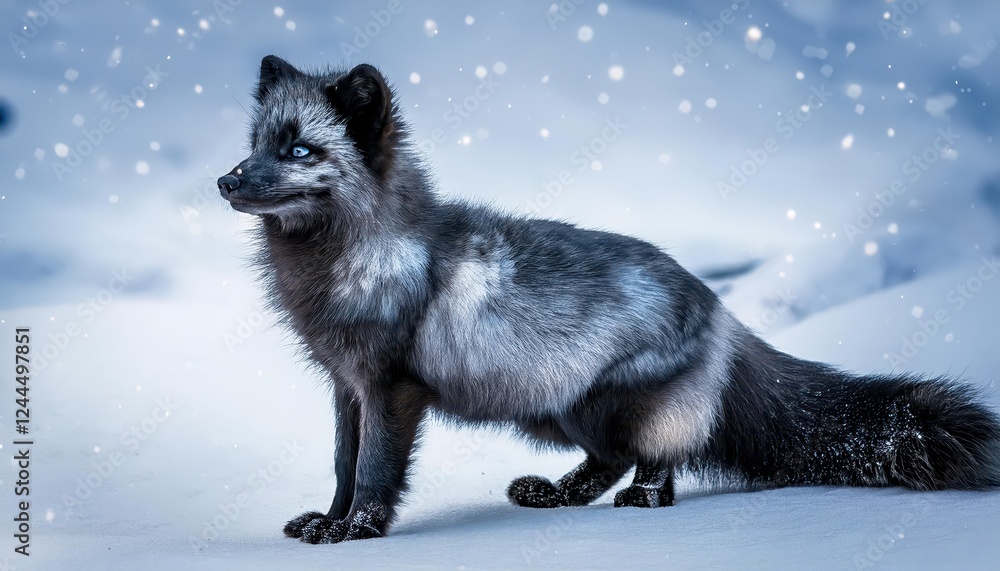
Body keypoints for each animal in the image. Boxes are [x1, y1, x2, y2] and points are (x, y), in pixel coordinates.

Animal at [218, 56, 1000, 544]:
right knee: (608, 459)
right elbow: (344, 464)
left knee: (656, 456)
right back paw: (556, 495)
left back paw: (646, 500)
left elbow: (377, 469)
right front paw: (328, 518)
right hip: (558, 409)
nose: (226, 181)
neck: (358, 259)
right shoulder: (345, 386)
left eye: (300, 151)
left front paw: (359, 530)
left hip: (607, 402)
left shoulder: (392, 388)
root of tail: (721, 309)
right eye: (255, 144)